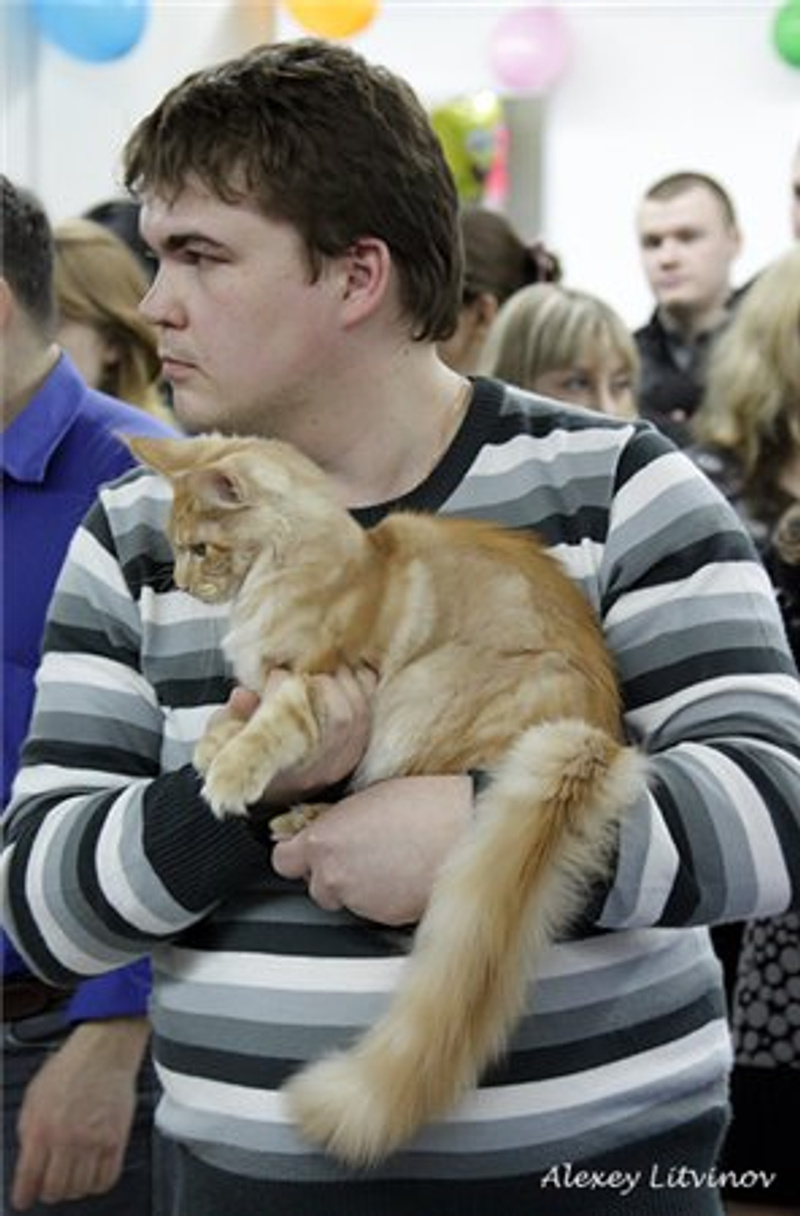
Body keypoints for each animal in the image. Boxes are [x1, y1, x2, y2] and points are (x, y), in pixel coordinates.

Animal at [127, 432, 646, 1167]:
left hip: (421, 695)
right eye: (179, 548)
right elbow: (232, 713)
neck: (303, 568)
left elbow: (272, 720)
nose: (183, 579)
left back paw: (307, 816)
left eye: (201, 548)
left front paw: (230, 774)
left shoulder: (323, 680)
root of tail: (596, 738)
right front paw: (212, 747)